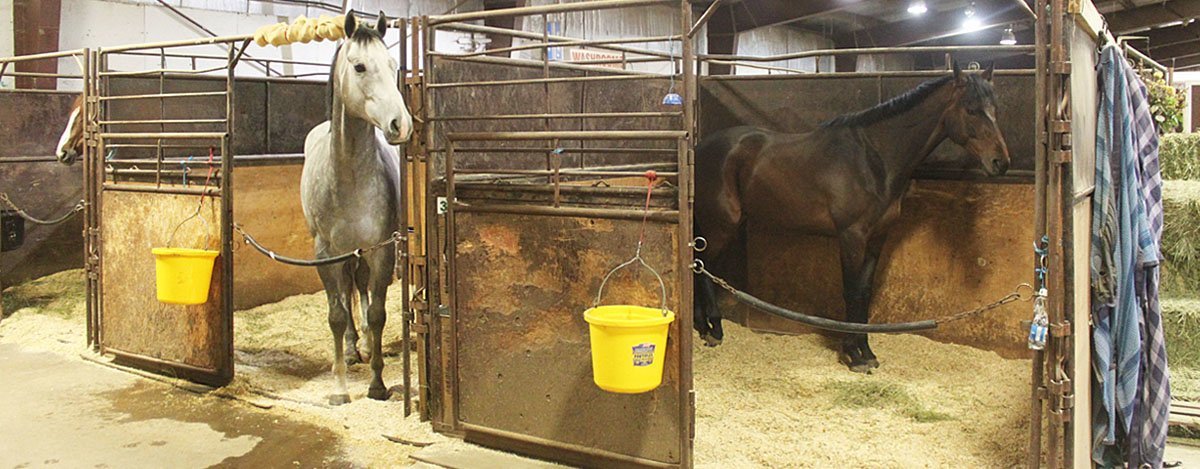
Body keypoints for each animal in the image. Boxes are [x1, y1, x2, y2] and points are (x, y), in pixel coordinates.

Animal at [300, 12, 412, 405]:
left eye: (394, 65)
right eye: (360, 66)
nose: (401, 124)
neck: (349, 176)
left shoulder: (382, 249)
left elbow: (377, 312)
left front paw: (377, 384)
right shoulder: (325, 253)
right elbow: (335, 313)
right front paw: (339, 387)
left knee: (360, 289)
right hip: (343, 254)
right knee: (347, 293)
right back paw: (351, 347)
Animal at [696, 64, 1012, 374]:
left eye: (995, 109)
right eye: (971, 109)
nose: (1001, 162)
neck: (874, 160)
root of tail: (700, 147)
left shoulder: (876, 239)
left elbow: (865, 293)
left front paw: (867, 351)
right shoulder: (851, 236)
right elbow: (851, 292)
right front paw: (853, 355)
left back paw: (703, 326)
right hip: (722, 224)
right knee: (703, 266)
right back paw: (714, 330)